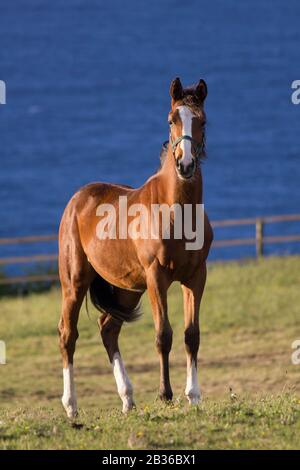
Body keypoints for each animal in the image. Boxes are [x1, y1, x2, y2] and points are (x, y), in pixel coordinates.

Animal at [58, 77, 213, 418]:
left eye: (203, 121)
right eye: (171, 119)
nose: (185, 164)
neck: (176, 210)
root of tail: (77, 199)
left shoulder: (196, 277)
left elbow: (192, 335)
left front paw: (194, 395)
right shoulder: (157, 278)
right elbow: (163, 335)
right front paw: (165, 394)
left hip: (127, 289)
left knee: (108, 329)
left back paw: (128, 398)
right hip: (75, 282)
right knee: (68, 334)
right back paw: (71, 406)